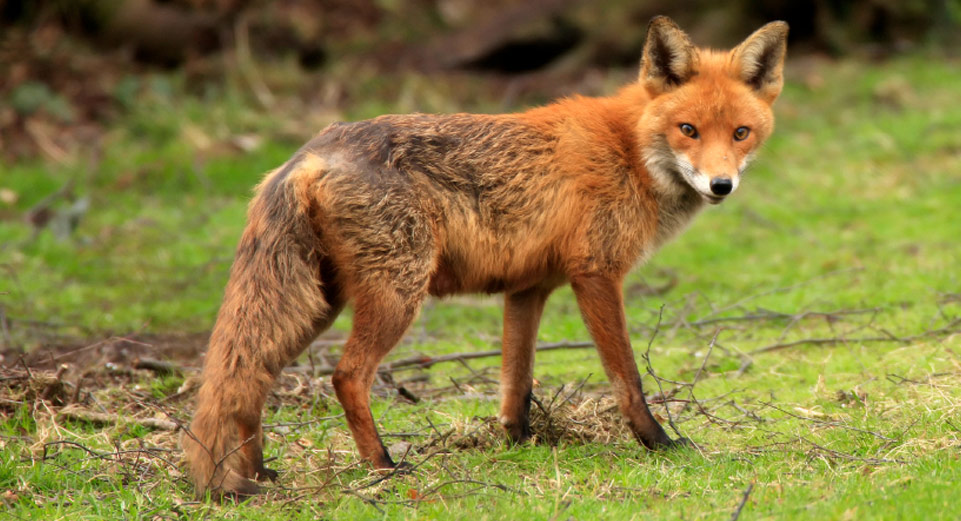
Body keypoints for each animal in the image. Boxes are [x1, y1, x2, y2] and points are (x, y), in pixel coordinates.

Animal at [182, 16, 789, 498]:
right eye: (688, 130)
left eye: (740, 133)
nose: (721, 185)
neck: (630, 150)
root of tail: (309, 152)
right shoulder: (596, 274)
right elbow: (626, 378)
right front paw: (658, 442)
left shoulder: (529, 288)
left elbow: (515, 382)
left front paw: (520, 443)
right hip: (395, 295)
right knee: (345, 376)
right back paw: (383, 467)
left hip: (318, 303)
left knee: (251, 375)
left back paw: (257, 476)